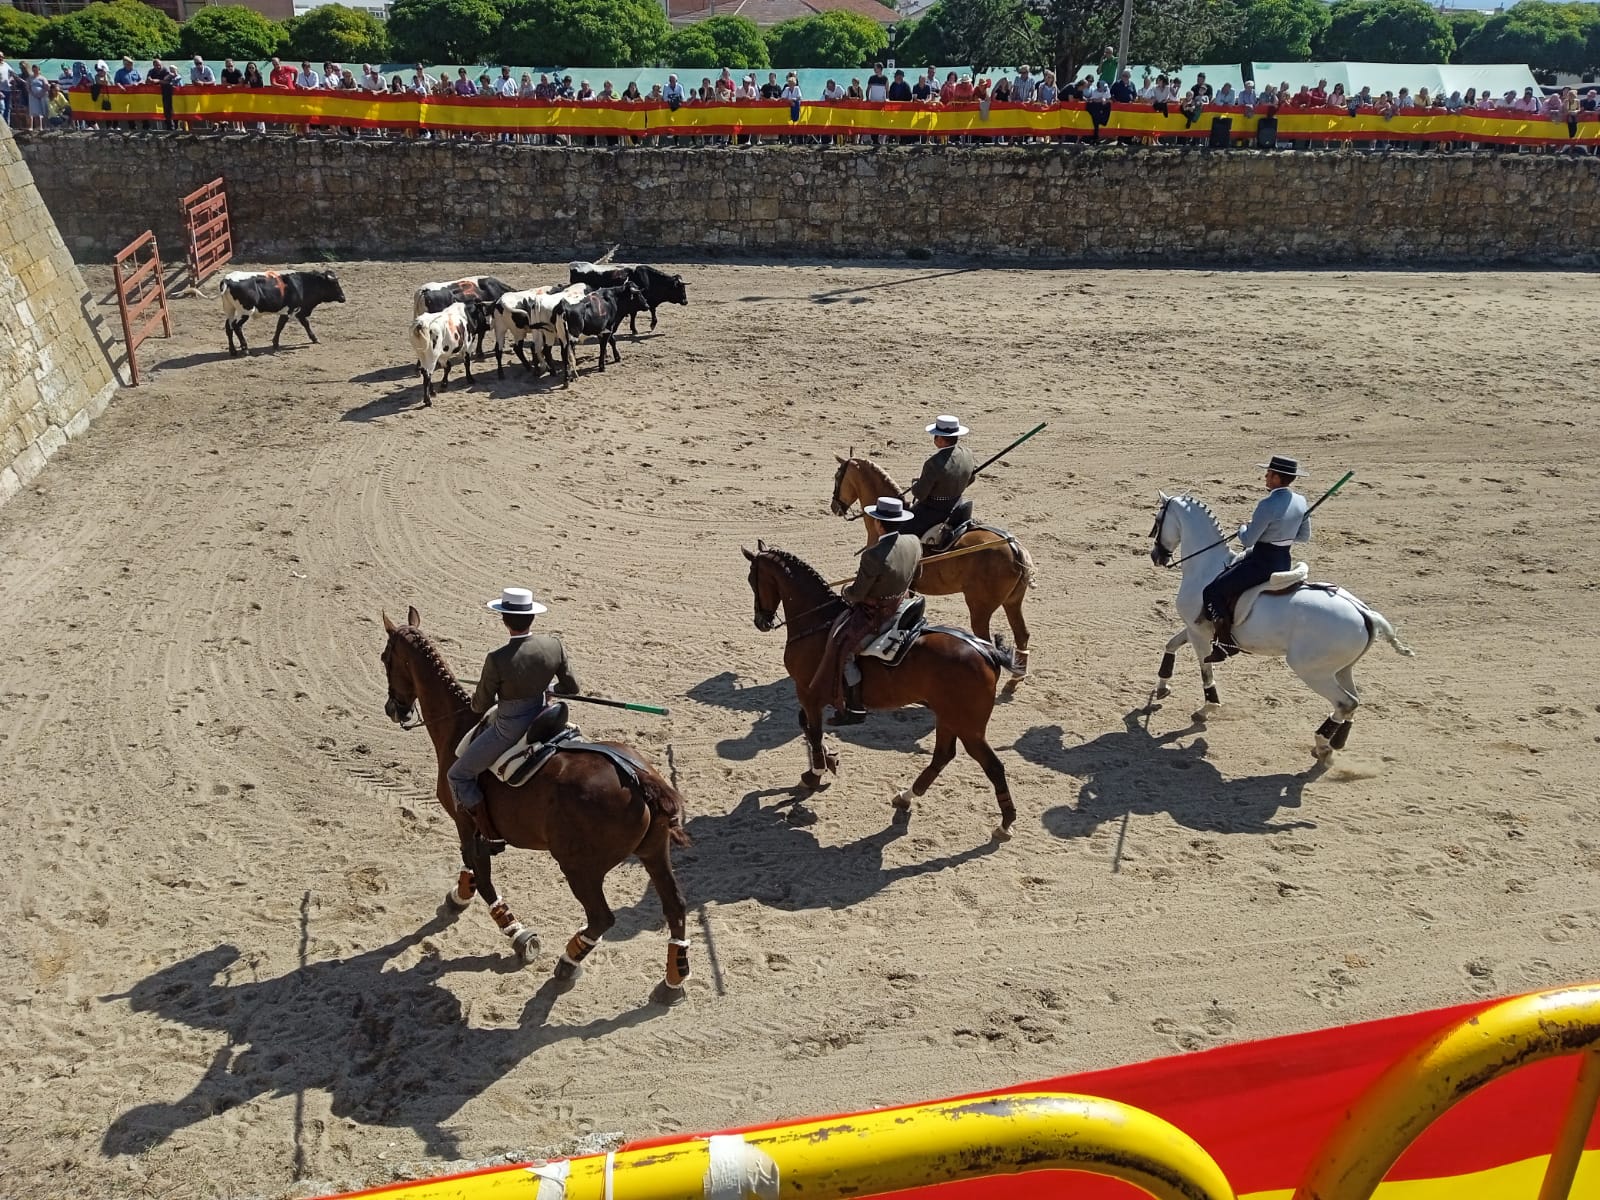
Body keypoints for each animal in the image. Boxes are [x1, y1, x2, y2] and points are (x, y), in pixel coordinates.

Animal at [219, 273, 347, 360]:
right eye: (334, 284)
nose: (343, 298)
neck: (301, 285)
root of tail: (228, 280)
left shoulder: (295, 310)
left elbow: (303, 323)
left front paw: (314, 338)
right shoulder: (291, 310)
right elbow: (281, 326)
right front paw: (275, 344)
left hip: (230, 309)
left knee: (228, 327)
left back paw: (233, 351)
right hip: (245, 311)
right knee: (237, 326)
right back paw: (245, 349)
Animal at [385, 604, 694, 1011]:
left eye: (385, 658)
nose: (394, 709)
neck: (459, 724)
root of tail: (639, 778)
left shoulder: (464, 819)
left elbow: (483, 877)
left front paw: (518, 935)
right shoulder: (476, 829)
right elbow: (473, 866)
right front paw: (458, 896)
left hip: (580, 868)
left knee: (601, 918)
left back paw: (568, 961)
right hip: (655, 853)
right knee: (675, 906)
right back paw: (673, 981)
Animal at [742, 544, 1017, 838]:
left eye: (752, 579)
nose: (760, 621)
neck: (818, 621)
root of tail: (987, 652)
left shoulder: (808, 691)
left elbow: (813, 731)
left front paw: (814, 774)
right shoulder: (813, 694)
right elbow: (805, 725)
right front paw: (829, 760)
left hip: (969, 727)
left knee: (993, 767)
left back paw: (1005, 823)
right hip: (948, 718)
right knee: (942, 757)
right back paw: (906, 796)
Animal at [825, 457, 1036, 681]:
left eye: (837, 476)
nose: (834, 506)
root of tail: (1015, 548)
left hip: (980, 608)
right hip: (1013, 602)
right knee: (1022, 634)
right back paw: (1018, 675)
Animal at [1152, 489, 1414, 761]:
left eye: (1157, 520)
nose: (1156, 556)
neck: (1206, 565)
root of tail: (1365, 613)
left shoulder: (1199, 633)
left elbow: (1205, 670)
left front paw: (1207, 708)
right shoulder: (1197, 628)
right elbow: (1171, 644)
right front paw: (1162, 686)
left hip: (1311, 670)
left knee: (1346, 703)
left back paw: (1322, 743)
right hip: (1342, 669)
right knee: (1354, 701)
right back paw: (1335, 743)